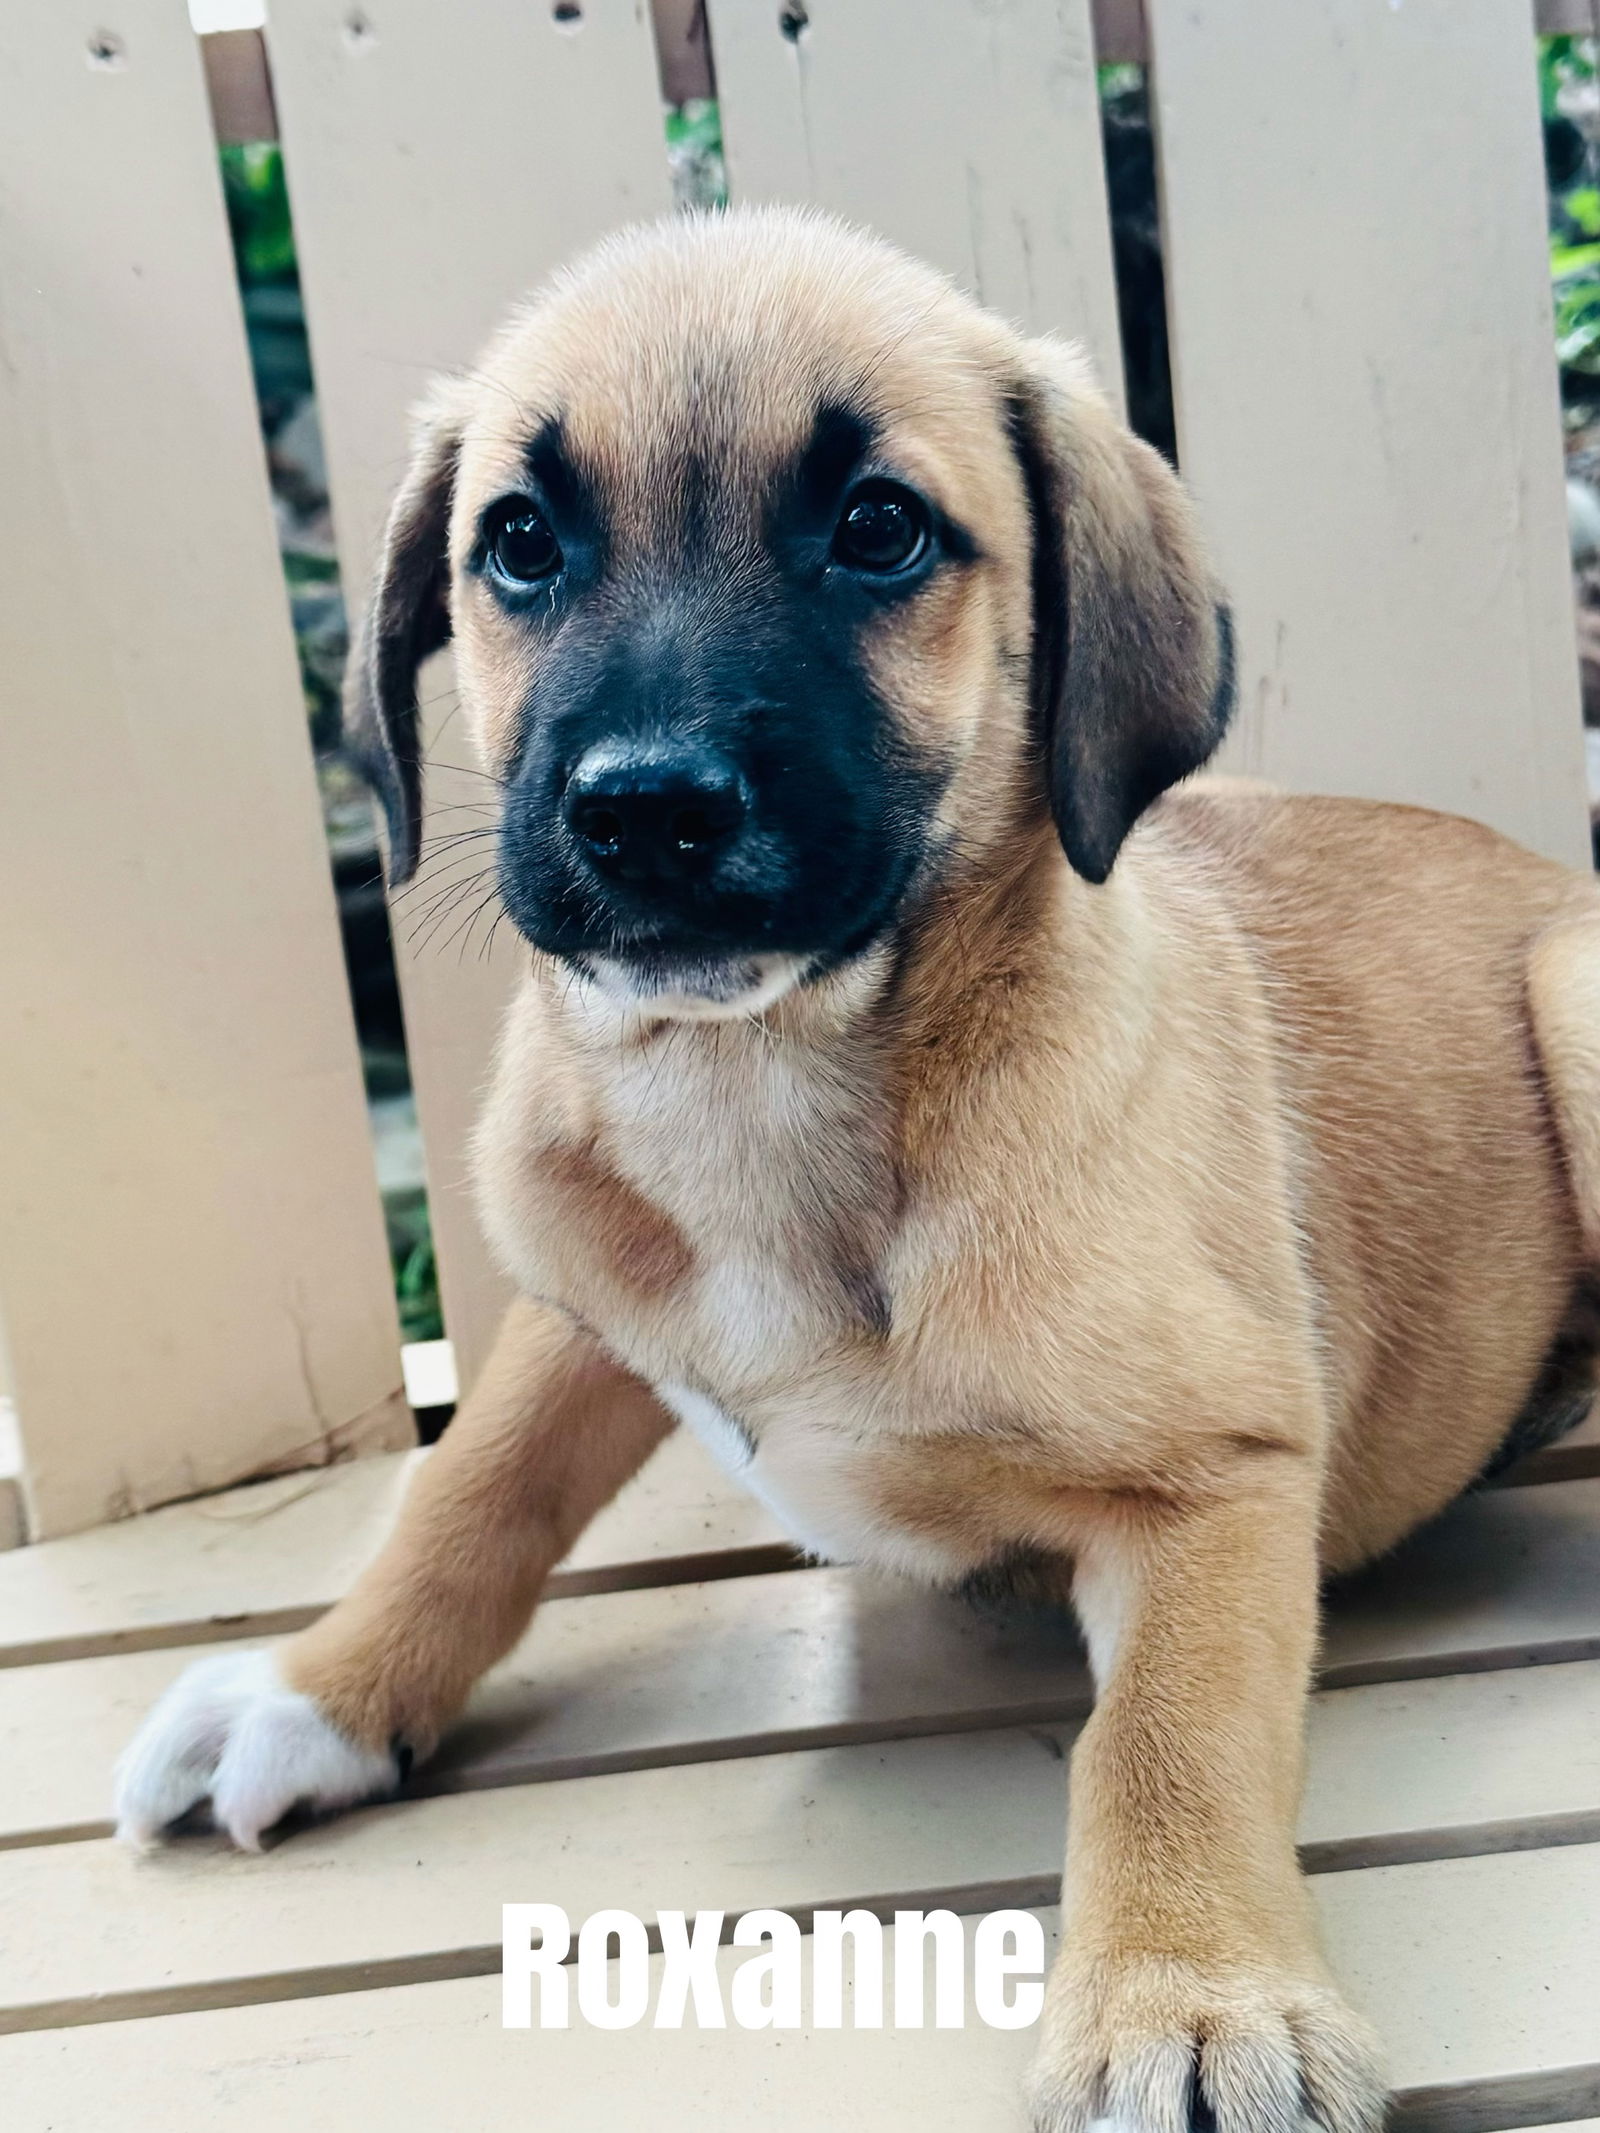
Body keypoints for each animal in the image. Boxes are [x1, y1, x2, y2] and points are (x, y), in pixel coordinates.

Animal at [118, 203, 1600, 2133]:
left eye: (880, 525)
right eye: (516, 542)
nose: (644, 808)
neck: (763, 1086)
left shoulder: (1215, 1474)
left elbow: (1164, 1741)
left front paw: (1193, 1999)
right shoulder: (577, 1310)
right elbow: (473, 1496)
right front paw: (324, 1688)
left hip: (1579, 994)